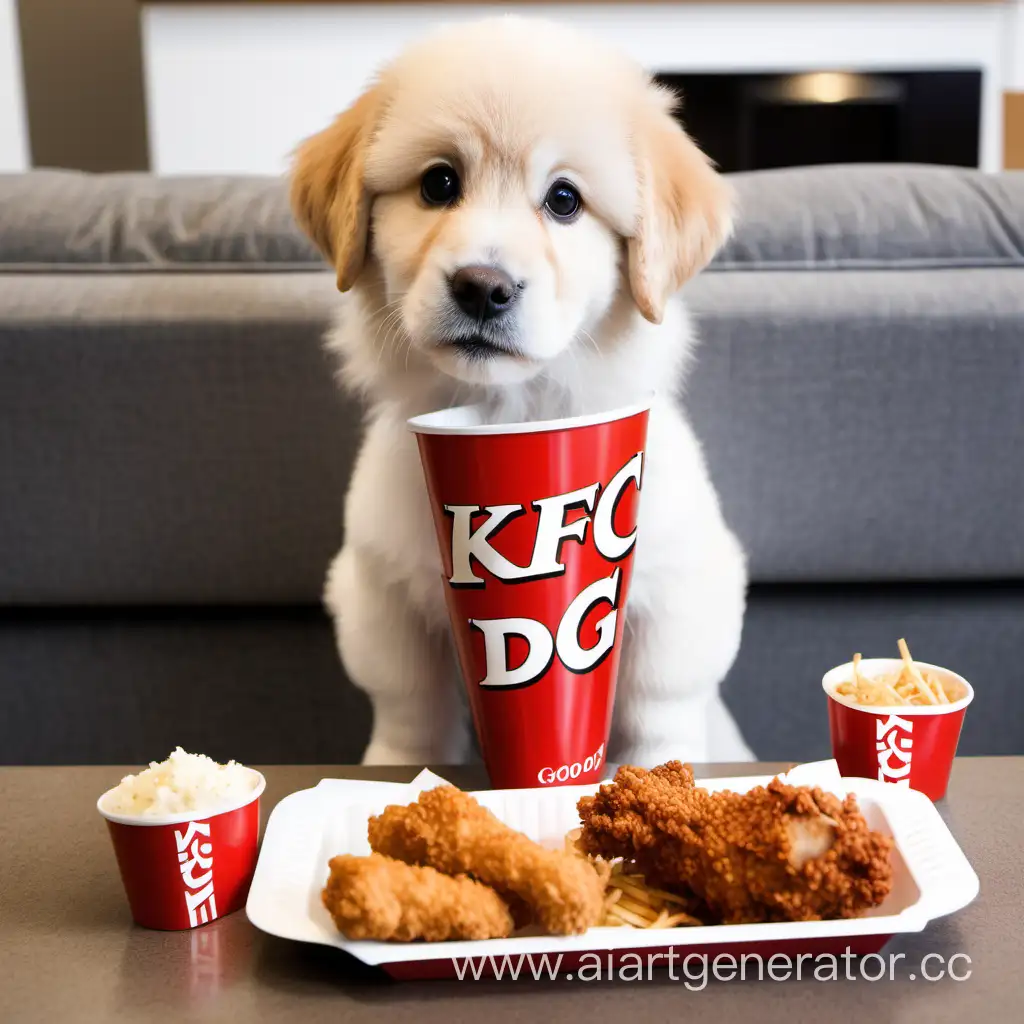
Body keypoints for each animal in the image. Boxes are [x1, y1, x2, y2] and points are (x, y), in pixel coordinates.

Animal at [288, 16, 753, 770]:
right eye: (439, 183)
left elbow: (660, 707)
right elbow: (408, 711)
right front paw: (390, 771)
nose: (483, 286)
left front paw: (662, 775)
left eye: (564, 200)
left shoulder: (682, 583)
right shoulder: (380, 591)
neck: (511, 410)